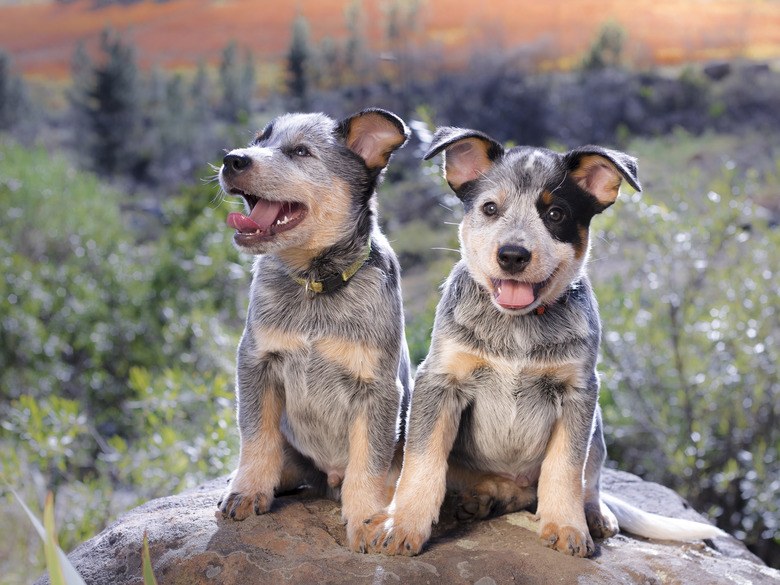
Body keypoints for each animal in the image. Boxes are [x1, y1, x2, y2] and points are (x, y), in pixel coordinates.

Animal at [218, 107, 414, 548]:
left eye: (301, 152)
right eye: (258, 141)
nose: (231, 159)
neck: (315, 287)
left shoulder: (377, 386)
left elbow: (367, 463)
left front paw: (365, 519)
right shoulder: (256, 360)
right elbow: (256, 437)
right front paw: (248, 490)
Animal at [364, 125, 724, 556]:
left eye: (556, 214)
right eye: (490, 208)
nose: (512, 255)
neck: (517, 327)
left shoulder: (579, 392)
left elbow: (566, 467)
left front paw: (568, 525)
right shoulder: (440, 380)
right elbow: (423, 460)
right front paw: (403, 523)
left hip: (597, 425)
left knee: (585, 479)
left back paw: (592, 513)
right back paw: (482, 497)